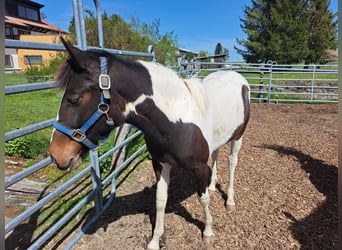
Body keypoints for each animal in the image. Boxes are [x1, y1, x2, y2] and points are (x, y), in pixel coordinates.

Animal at [49, 38, 250, 249]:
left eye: (74, 98)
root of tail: (238, 77)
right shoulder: (160, 163)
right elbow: (160, 201)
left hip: (238, 137)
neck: (177, 118)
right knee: (217, 155)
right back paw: (212, 185)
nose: (56, 155)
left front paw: (208, 231)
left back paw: (230, 200)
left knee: (232, 162)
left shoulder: (199, 168)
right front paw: (155, 240)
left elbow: (203, 199)